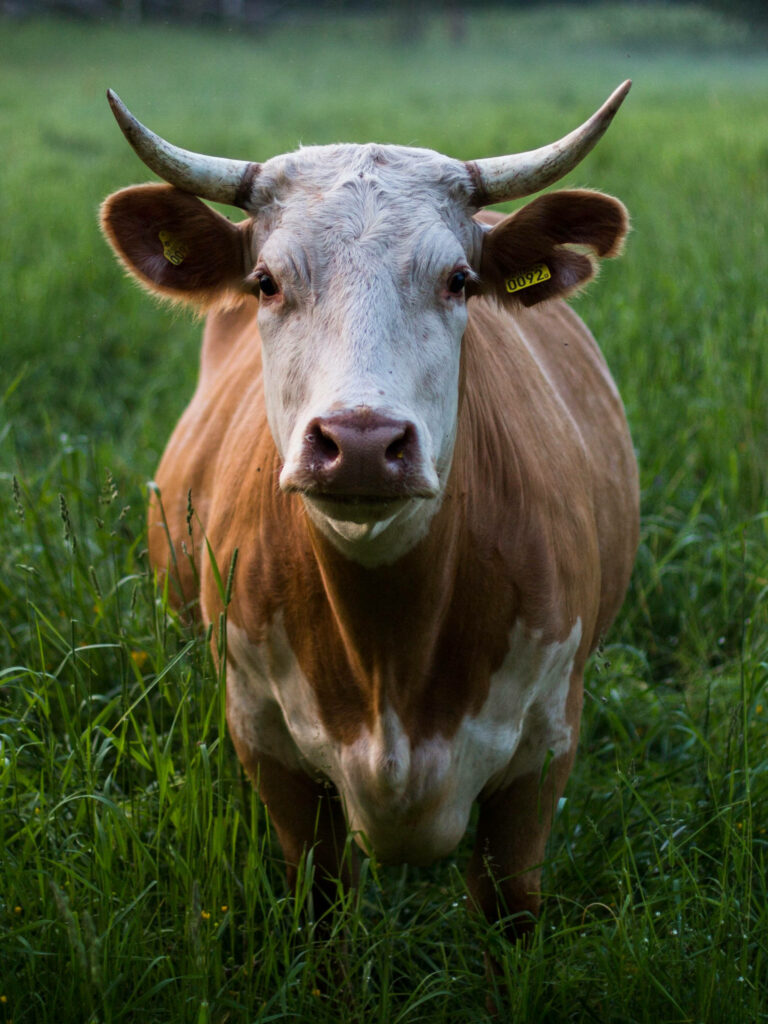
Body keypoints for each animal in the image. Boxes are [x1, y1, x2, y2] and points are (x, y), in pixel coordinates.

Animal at [100, 83, 639, 947]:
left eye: (459, 280)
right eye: (265, 281)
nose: (359, 443)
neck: (392, 651)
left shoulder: (542, 754)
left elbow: (508, 912)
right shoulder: (269, 748)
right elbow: (322, 909)